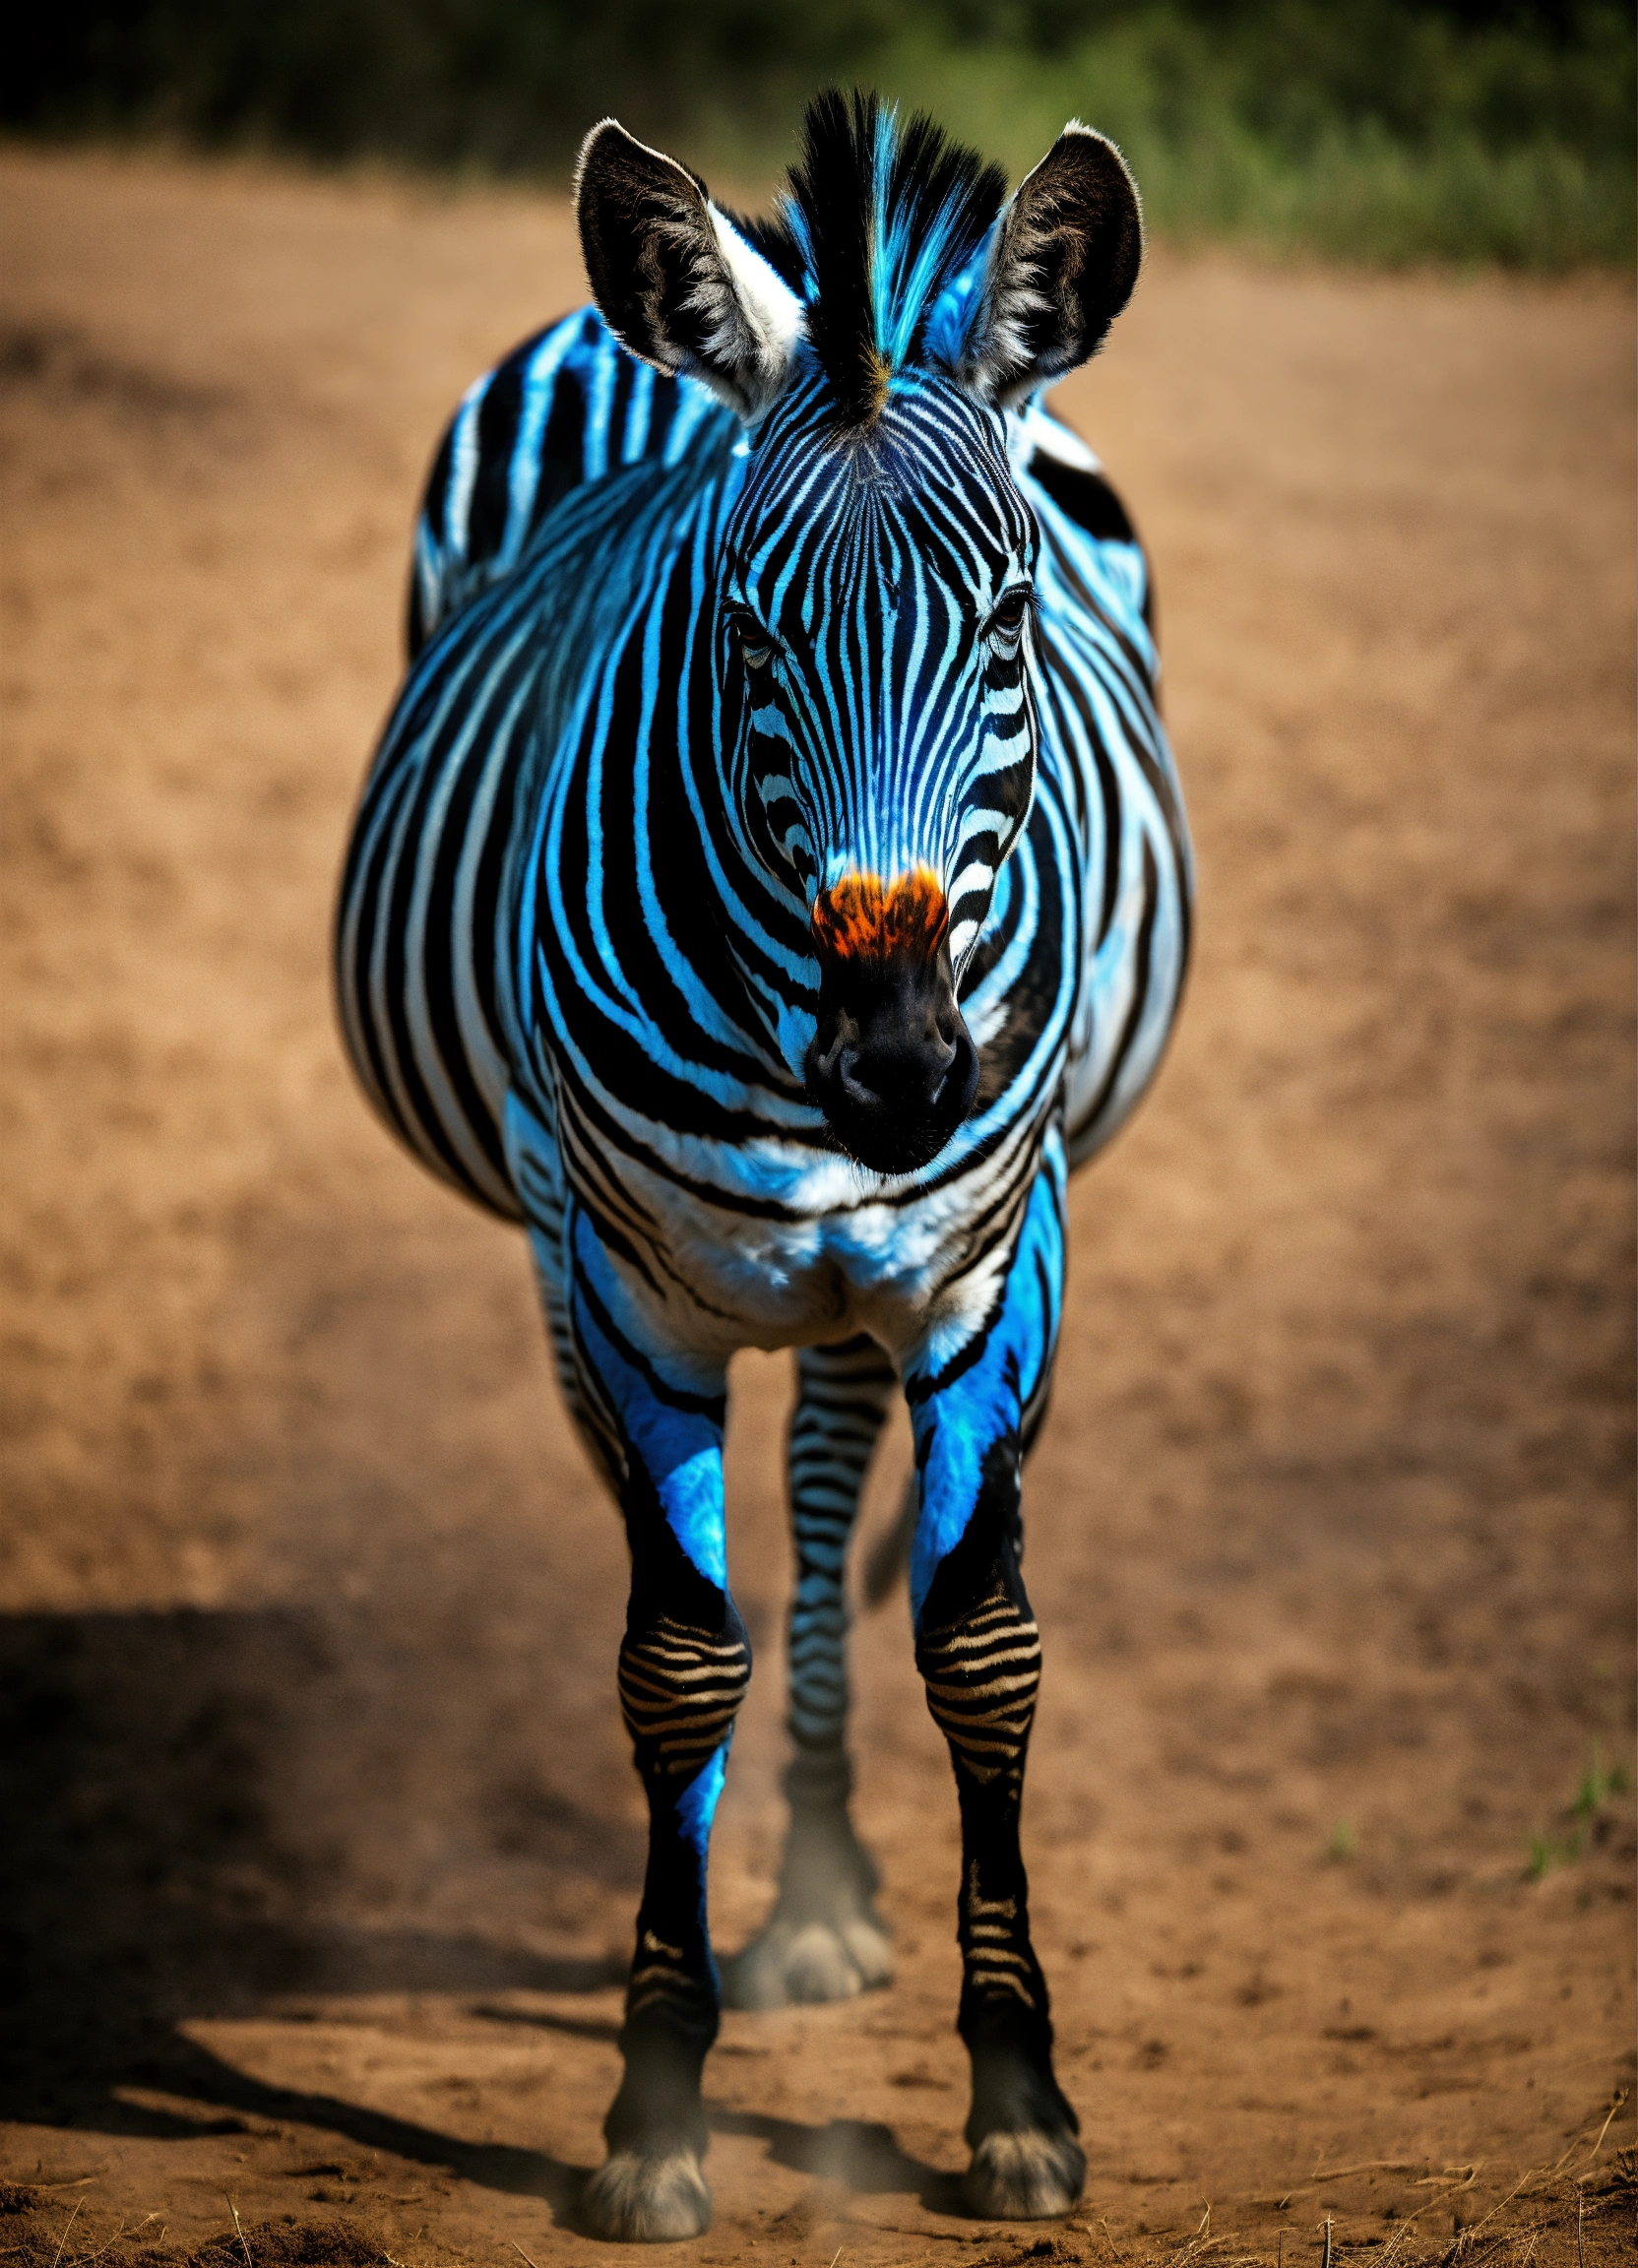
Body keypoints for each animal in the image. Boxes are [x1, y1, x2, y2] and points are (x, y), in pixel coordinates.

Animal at [337, 90, 1192, 2242]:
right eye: (744, 634)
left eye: (1005, 627)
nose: (893, 1064)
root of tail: (810, 261)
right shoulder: (621, 1279)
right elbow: (670, 1657)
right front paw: (655, 2098)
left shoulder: (991, 1265)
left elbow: (979, 1647)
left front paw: (1015, 2096)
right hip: (564, 1233)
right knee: (708, 1536)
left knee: (812, 1487)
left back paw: (808, 1882)